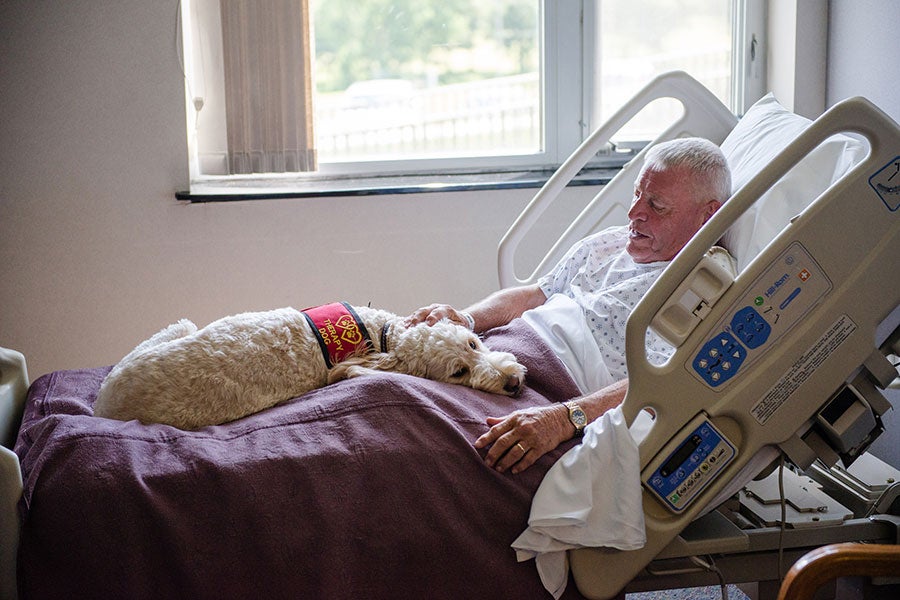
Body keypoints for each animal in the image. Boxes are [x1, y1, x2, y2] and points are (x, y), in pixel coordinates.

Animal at [94, 308, 524, 428]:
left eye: (474, 344)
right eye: (458, 373)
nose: (513, 382)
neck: (383, 336)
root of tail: (99, 406)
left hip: (178, 328)